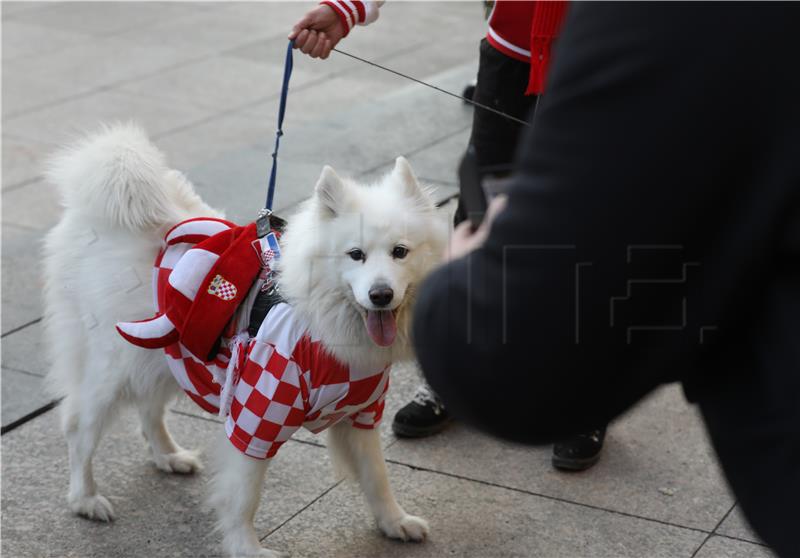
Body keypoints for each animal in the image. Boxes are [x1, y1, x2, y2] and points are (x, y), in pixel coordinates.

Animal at [43, 123, 450, 558]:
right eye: (355, 254)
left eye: (400, 252)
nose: (381, 295)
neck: (322, 328)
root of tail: (96, 215)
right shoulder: (258, 415)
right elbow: (244, 495)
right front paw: (247, 548)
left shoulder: (362, 412)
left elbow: (377, 477)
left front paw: (395, 522)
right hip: (114, 369)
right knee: (78, 428)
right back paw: (85, 499)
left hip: (166, 359)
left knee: (149, 411)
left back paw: (169, 456)